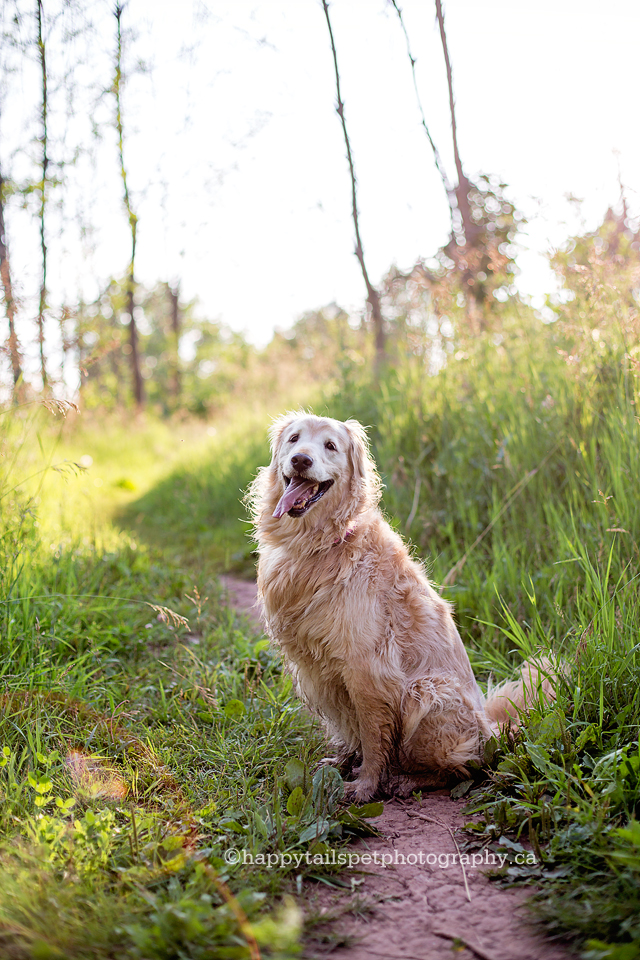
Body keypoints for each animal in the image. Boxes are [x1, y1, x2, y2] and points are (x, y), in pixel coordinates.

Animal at [248, 412, 552, 804]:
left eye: (330, 446)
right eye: (294, 439)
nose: (301, 460)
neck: (322, 542)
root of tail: (491, 727)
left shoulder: (367, 668)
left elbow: (372, 736)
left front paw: (365, 785)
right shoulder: (321, 671)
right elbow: (349, 727)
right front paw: (343, 761)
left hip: (428, 692)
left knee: (465, 767)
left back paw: (409, 780)